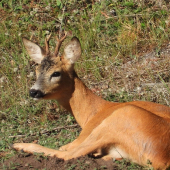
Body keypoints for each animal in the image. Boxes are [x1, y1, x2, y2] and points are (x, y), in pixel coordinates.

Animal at [12, 32, 170, 169]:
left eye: (56, 73)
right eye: (37, 71)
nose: (34, 91)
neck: (92, 112)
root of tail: (162, 160)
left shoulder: (86, 132)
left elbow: (65, 148)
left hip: (120, 118)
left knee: (67, 153)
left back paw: (19, 145)